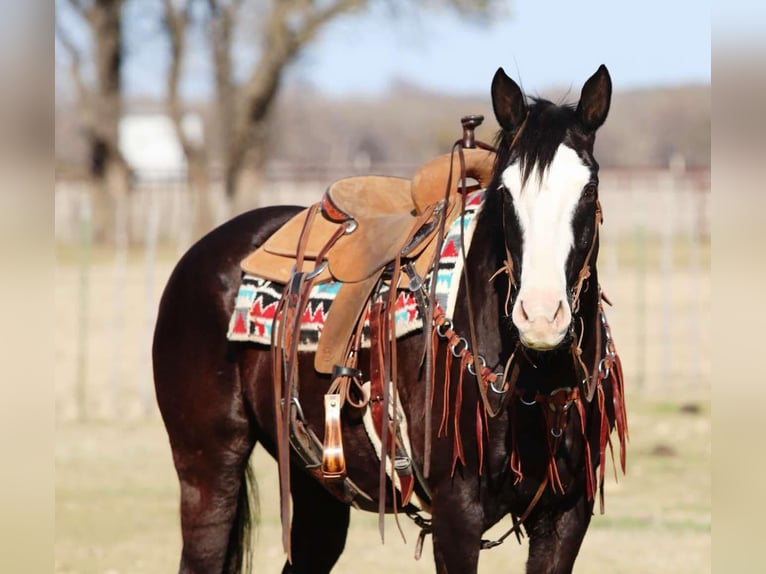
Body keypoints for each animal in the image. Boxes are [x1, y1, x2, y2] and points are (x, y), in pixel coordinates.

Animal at [154, 64, 632, 574]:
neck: (534, 383)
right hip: (208, 468)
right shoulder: (457, 512)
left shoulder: (567, 514)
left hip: (316, 484)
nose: (541, 317)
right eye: (506, 193)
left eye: (590, 189)